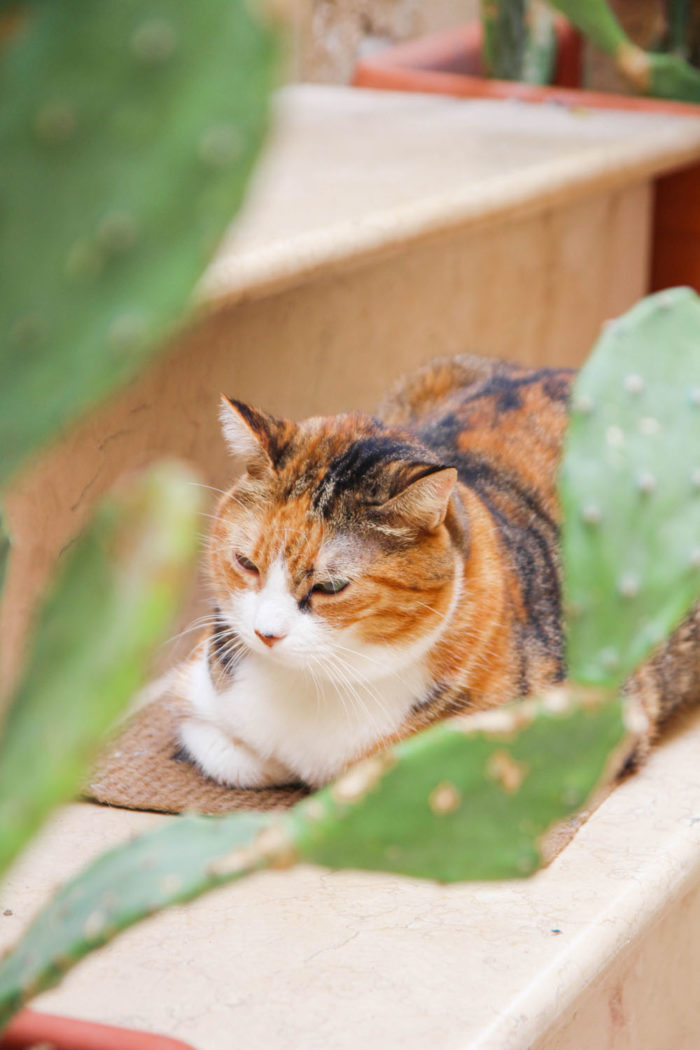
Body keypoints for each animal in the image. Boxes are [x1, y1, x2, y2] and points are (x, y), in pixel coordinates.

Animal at [175, 352, 700, 789]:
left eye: (330, 586)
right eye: (246, 563)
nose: (265, 634)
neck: (316, 683)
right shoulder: (197, 699)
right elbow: (231, 754)